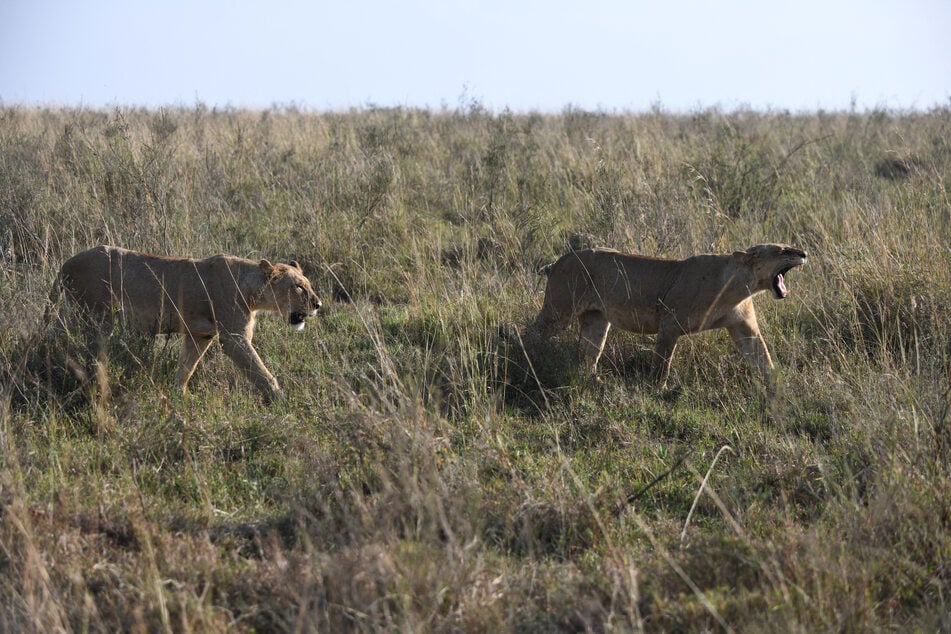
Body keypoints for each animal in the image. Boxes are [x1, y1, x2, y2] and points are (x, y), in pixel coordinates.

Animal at [51, 243, 324, 400]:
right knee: (90, 354)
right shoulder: (233, 337)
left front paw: (178, 396)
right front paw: (281, 399)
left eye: (308, 284)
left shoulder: (200, 335)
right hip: (98, 317)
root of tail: (65, 264)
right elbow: (259, 370)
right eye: (298, 287)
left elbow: (187, 367)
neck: (252, 288)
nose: (318, 304)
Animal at [532, 243, 808, 382]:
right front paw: (657, 391)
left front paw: (778, 387)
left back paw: (593, 381)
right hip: (558, 311)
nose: (805, 253)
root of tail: (559, 260)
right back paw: (527, 362)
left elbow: (762, 357)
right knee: (531, 335)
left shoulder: (743, 326)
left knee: (589, 353)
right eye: (784, 250)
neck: (741, 286)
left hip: (596, 320)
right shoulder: (669, 323)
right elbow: (662, 362)